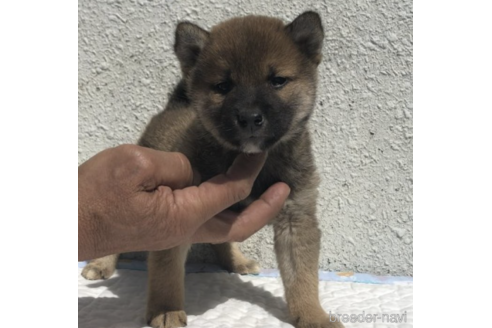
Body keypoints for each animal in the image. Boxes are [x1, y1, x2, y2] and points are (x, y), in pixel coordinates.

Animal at [81, 11, 342, 326]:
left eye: (277, 81)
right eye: (223, 86)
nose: (250, 117)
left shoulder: (297, 217)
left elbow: (302, 278)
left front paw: (313, 315)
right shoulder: (177, 221)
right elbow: (166, 273)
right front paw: (166, 310)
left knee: (222, 242)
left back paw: (237, 261)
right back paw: (101, 263)